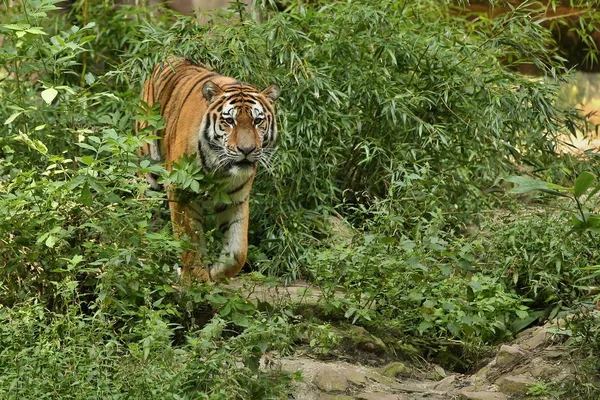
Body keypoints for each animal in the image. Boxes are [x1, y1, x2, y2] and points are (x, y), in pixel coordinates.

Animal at [138, 57, 282, 282]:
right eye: (229, 121)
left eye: (258, 121)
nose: (247, 150)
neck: (220, 168)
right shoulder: (180, 190)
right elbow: (190, 240)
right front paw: (197, 279)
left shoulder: (236, 197)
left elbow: (237, 252)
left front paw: (215, 273)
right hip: (148, 171)